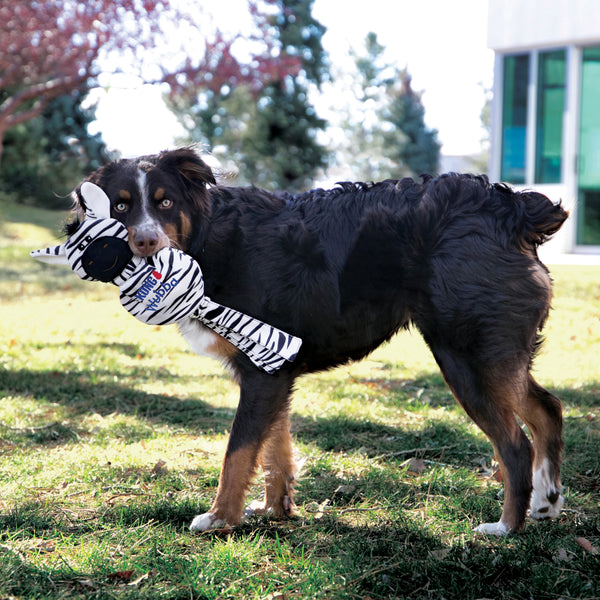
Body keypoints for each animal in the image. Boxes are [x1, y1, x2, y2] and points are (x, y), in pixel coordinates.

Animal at [71, 148, 568, 536]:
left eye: (165, 201)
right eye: (120, 207)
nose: (146, 242)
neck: (211, 239)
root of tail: (509, 207)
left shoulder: (262, 374)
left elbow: (238, 452)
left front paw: (220, 518)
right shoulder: (272, 372)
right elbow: (274, 449)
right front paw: (275, 510)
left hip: (466, 358)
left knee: (516, 446)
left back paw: (506, 528)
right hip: (493, 357)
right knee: (548, 409)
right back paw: (546, 502)